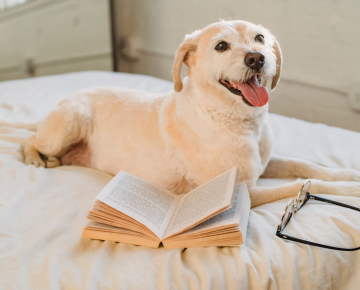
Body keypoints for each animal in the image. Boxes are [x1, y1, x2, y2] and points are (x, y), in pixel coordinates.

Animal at [21, 20, 360, 206]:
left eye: (260, 38)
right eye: (221, 46)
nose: (257, 58)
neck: (239, 121)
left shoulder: (266, 164)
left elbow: (307, 166)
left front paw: (348, 174)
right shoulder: (246, 191)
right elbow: (304, 185)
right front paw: (349, 189)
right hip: (72, 120)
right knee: (28, 141)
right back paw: (36, 157)